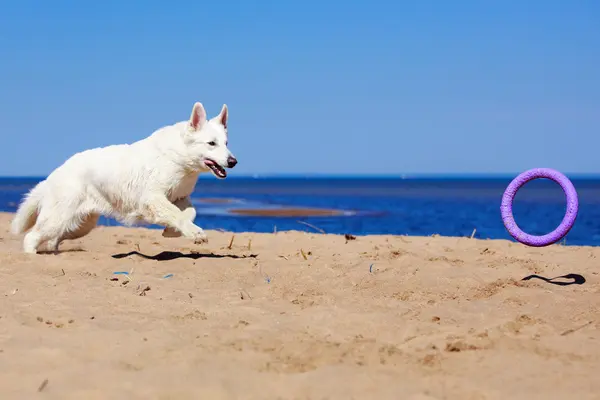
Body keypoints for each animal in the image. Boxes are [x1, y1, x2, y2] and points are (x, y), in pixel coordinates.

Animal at [9, 101, 237, 255]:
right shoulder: (152, 198)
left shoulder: (180, 197)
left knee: (52, 239)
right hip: (58, 219)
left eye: (226, 143)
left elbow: (190, 212)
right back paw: (32, 256)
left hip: (79, 226)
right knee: (32, 236)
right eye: (211, 143)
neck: (179, 159)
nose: (233, 161)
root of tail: (52, 175)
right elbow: (176, 214)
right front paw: (193, 232)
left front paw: (172, 231)